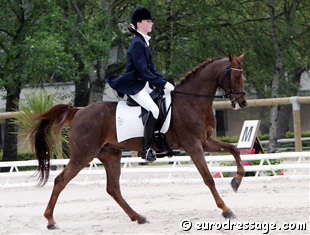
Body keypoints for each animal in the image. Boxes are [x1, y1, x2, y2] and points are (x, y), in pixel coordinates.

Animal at [30, 52, 247, 229]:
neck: (192, 101)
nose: (243, 102)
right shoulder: (193, 145)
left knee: (113, 188)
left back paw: (138, 217)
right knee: (60, 180)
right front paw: (226, 209)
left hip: (110, 154)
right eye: (236, 77)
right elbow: (208, 178)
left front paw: (236, 181)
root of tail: (79, 111)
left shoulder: (205, 141)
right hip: (83, 154)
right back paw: (50, 221)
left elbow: (234, 149)